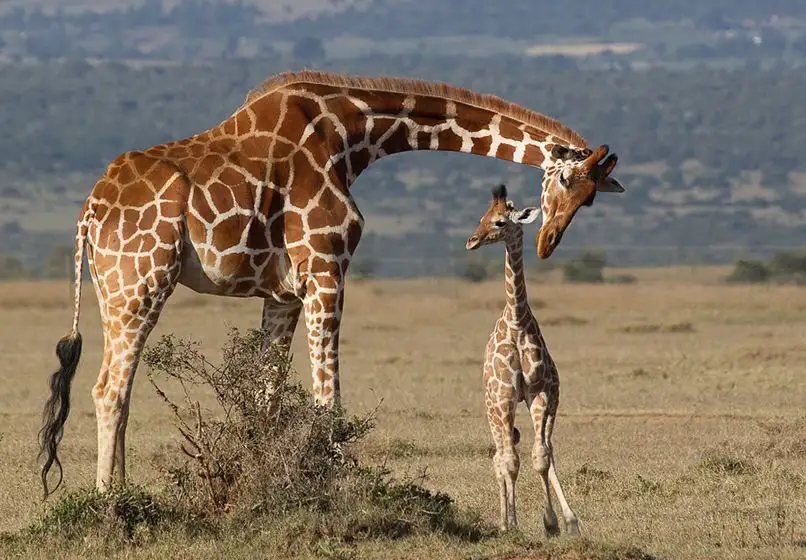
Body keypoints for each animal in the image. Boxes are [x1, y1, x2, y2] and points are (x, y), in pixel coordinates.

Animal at [39, 71, 624, 498]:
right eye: (565, 180)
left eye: (591, 198)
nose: (548, 241)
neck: (353, 136)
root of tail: (90, 212)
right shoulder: (326, 267)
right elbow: (328, 402)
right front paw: (337, 488)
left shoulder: (282, 292)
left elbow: (267, 397)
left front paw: (270, 485)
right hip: (141, 281)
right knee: (108, 388)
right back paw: (110, 503)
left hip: (113, 289)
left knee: (119, 388)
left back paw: (123, 491)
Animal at [468, 186, 580, 536]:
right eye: (482, 217)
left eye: (500, 222)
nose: (472, 240)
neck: (517, 322)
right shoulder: (505, 398)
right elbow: (510, 462)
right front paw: (512, 524)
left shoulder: (542, 392)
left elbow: (541, 457)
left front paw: (557, 522)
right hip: (492, 407)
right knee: (500, 456)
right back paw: (505, 521)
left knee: (539, 451)